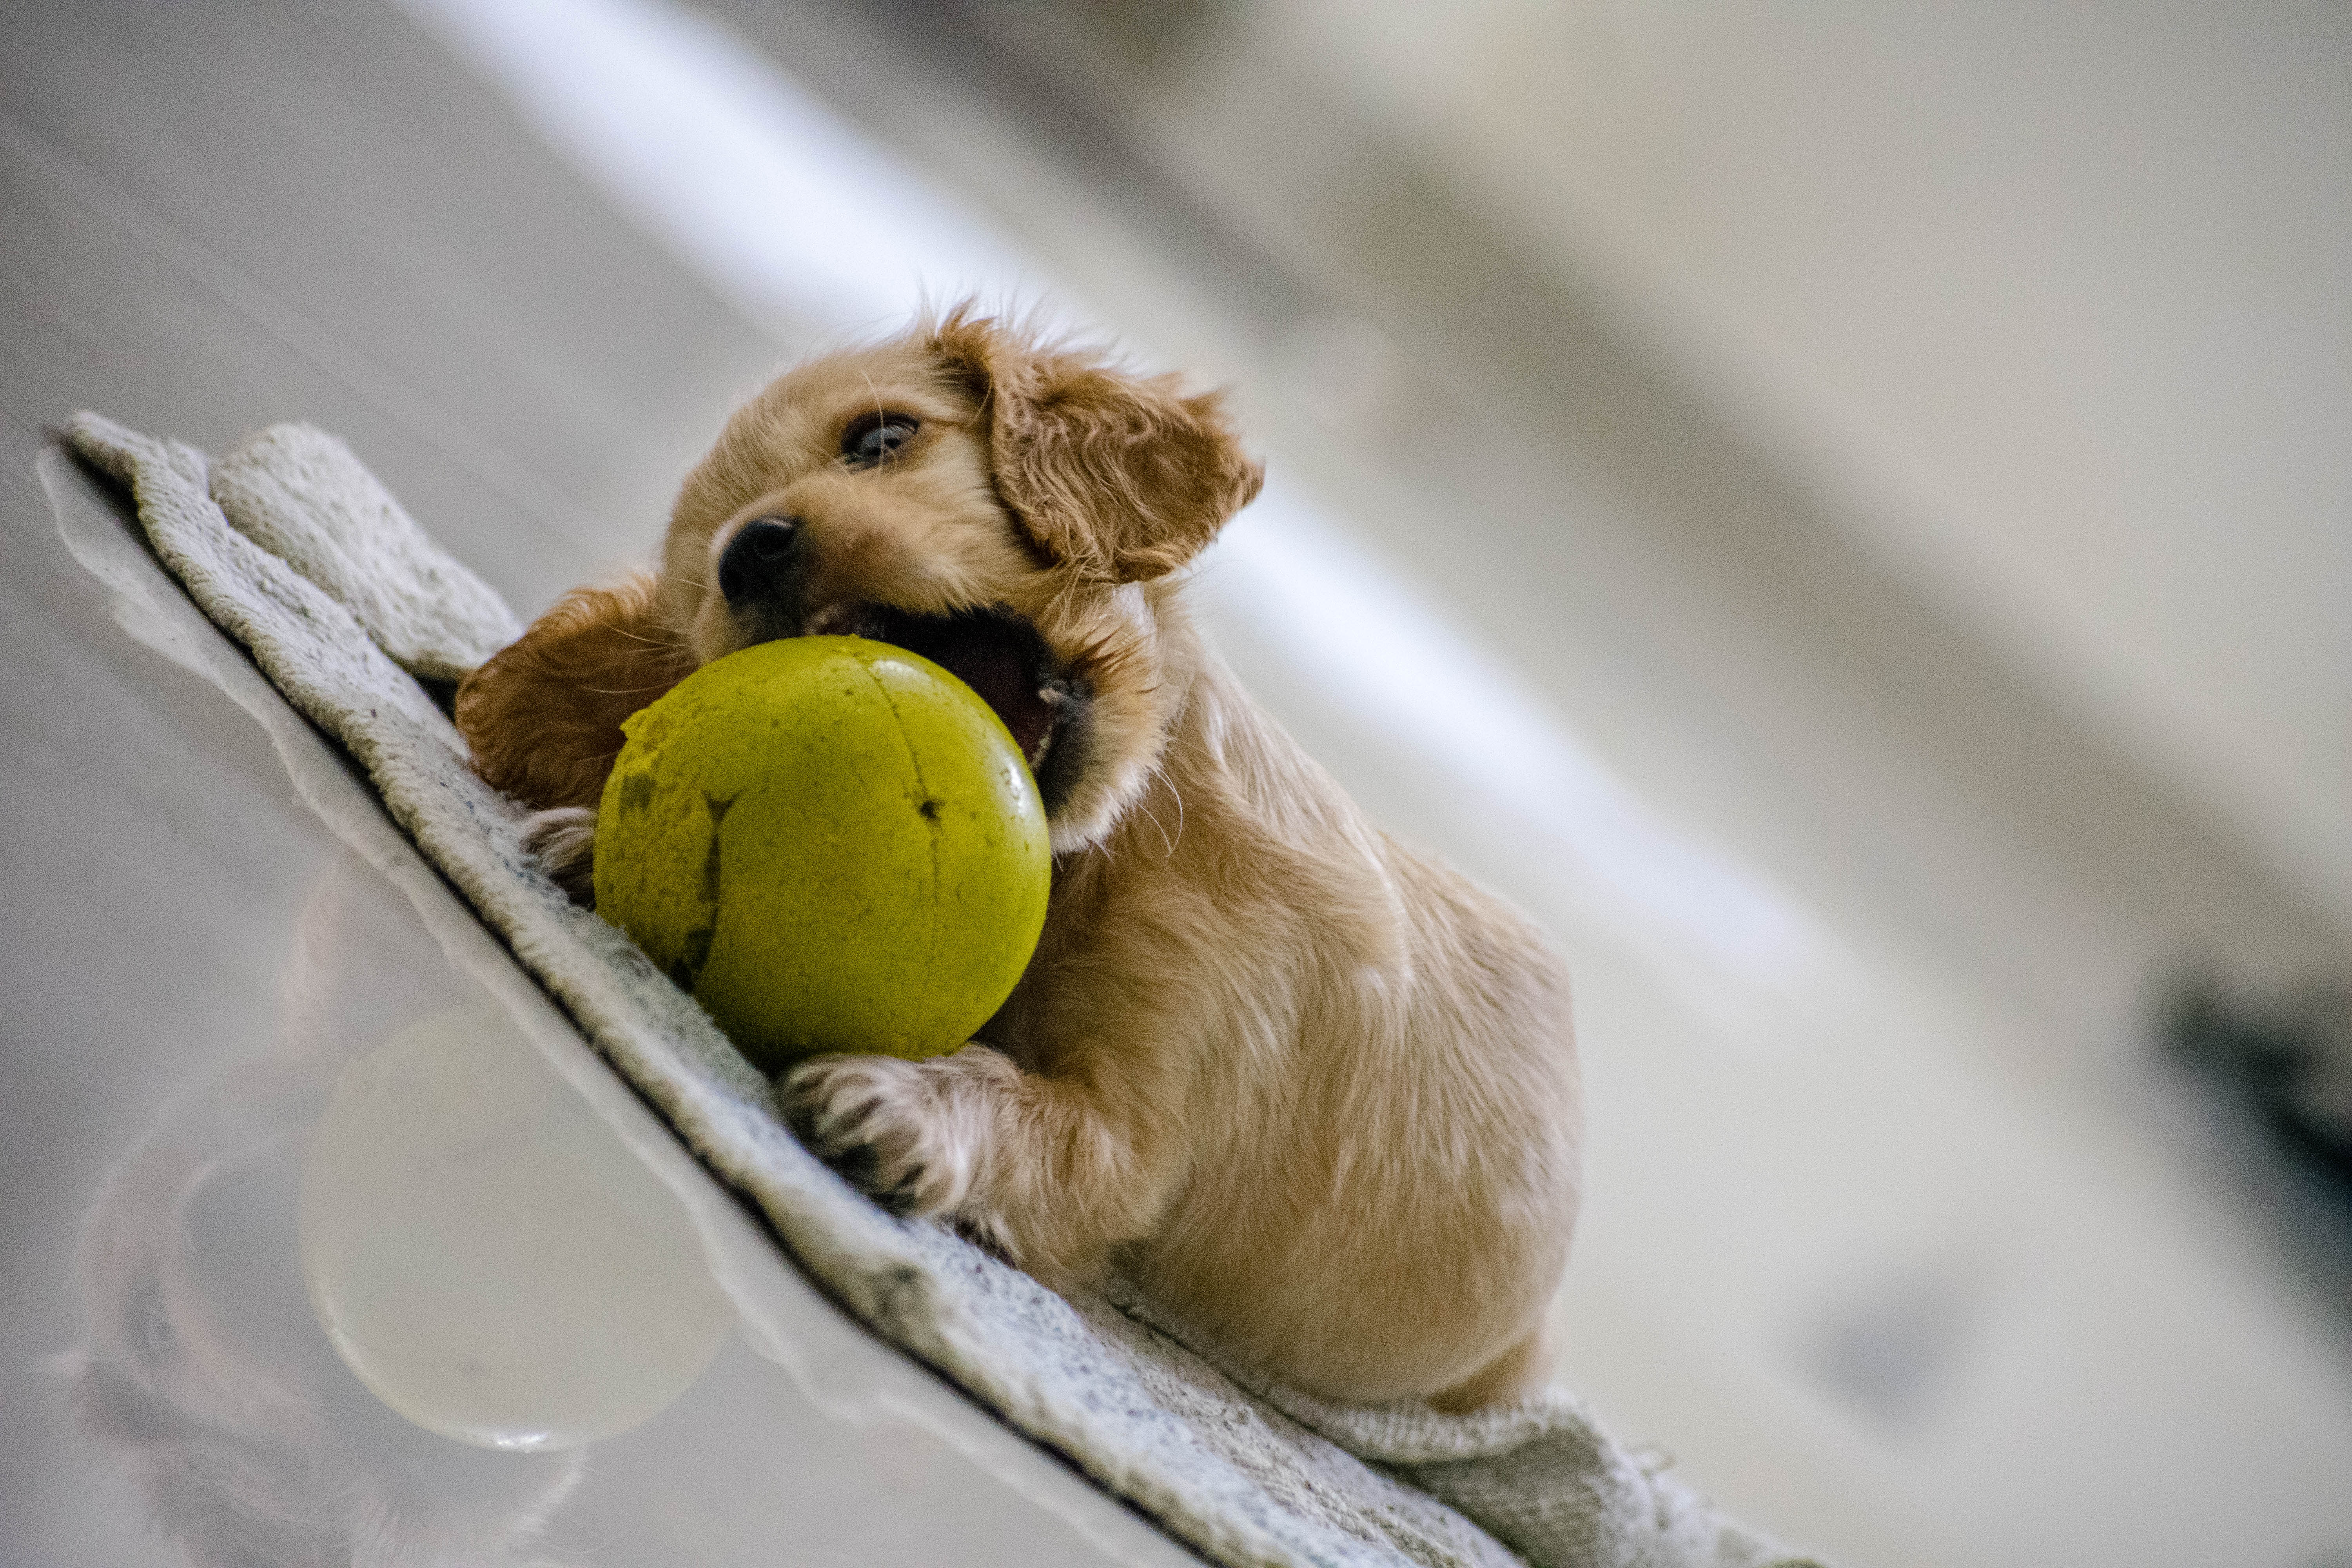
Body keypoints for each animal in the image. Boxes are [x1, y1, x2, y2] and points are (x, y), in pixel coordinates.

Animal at [454, 305, 1581, 1410]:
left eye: (881, 438)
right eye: (701, 594)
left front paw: (900, 1099)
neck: (1094, 858)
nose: (751, 551)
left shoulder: (1133, 1138)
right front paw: (597, 849)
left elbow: (1018, 1105)